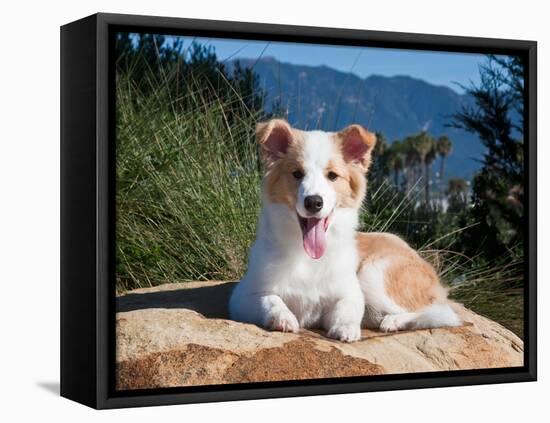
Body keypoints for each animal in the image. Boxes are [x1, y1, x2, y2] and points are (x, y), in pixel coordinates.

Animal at [231, 117, 464, 342]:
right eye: (297, 173)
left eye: (332, 175)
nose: (314, 202)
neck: (307, 256)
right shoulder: (243, 296)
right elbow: (270, 300)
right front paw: (283, 317)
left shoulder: (349, 293)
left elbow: (348, 309)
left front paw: (346, 328)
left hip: (374, 272)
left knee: (443, 312)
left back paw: (394, 321)